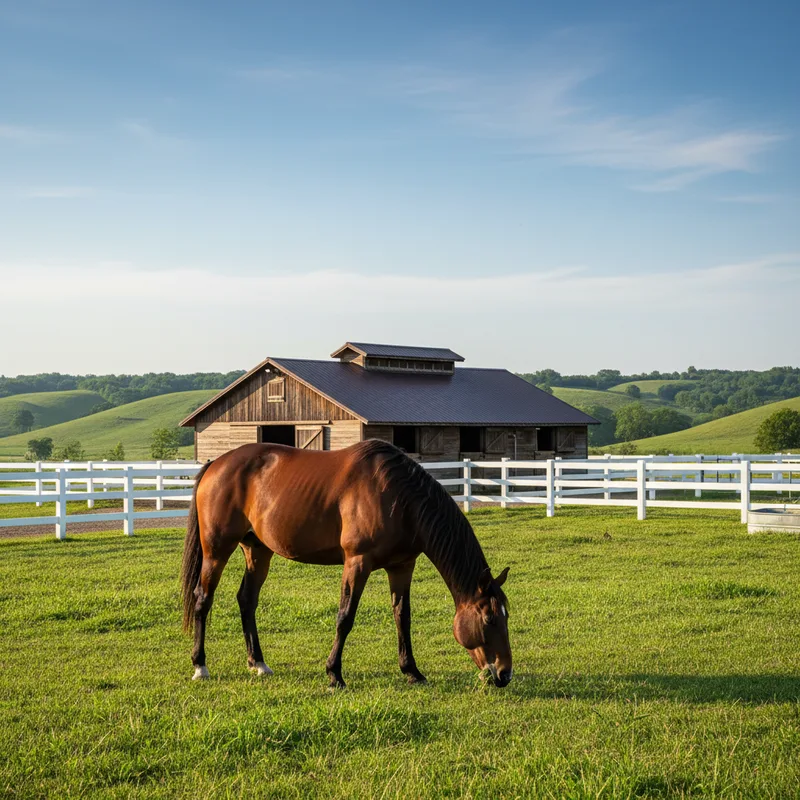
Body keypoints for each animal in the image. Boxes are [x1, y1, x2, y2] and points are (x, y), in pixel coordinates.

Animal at [180, 439, 512, 688]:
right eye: (489, 619)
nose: (504, 673)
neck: (399, 497)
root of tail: (216, 464)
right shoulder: (357, 563)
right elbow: (345, 617)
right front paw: (334, 674)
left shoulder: (402, 566)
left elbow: (402, 617)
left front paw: (412, 671)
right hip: (216, 550)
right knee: (203, 599)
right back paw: (200, 666)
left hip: (258, 550)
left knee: (247, 600)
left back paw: (258, 663)